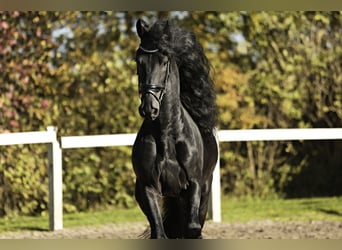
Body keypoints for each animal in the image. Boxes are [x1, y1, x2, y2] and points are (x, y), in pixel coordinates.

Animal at [132, 19, 218, 238]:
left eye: (165, 61)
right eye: (139, 61)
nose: (149, 107)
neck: (166, 135)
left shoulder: (194, 184)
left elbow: (193, 228)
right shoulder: (148, 188)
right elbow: (160, 232)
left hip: (202, 192)